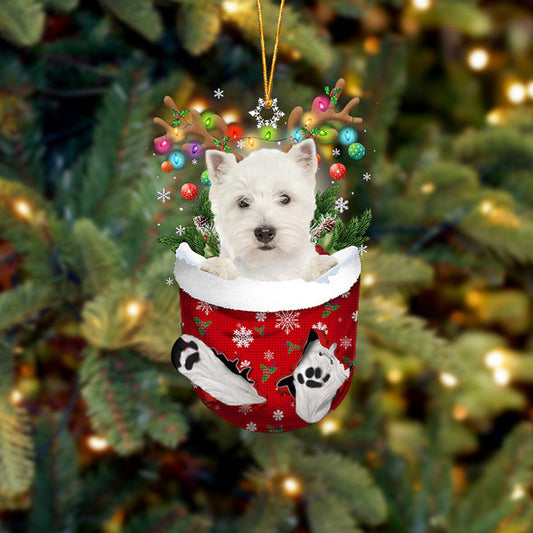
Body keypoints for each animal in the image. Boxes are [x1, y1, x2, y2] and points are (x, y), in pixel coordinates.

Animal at [200, 138, 336, 282]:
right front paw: (216, 266)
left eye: (285, 198)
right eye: (243, 202)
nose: (264, 233)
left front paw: (322, 264)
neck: (268, 263)